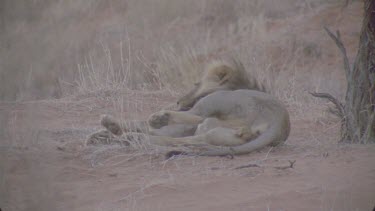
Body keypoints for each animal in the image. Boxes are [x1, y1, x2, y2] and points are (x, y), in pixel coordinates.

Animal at [87, 59, 290, 157]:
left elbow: (143, 123)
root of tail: (279, 121)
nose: (178, 101)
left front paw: (109, 129)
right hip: (218, 133)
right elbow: (143, 126)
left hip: (211, 108)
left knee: (192, 121)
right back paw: (132, 138)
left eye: (196, 83)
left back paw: (145, 129)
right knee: (191, 140)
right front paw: (102, 134)